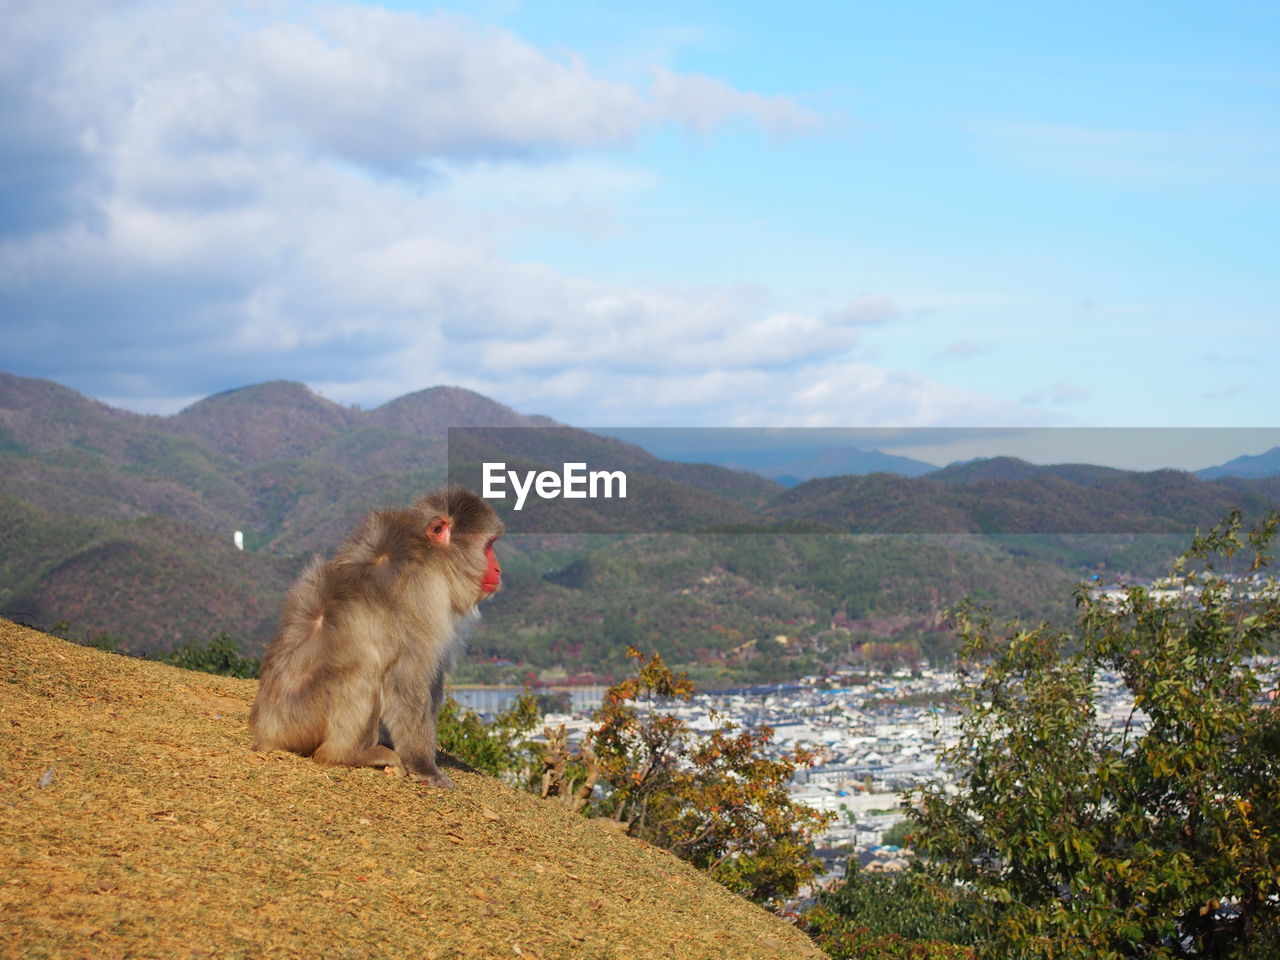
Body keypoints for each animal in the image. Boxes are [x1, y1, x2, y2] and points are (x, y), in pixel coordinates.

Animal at [250, 488, 504, 788]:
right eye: (488, 546)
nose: (498, 569)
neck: (429, 553)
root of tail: (267, 731)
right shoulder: (423, 594)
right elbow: (405, 678)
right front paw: (423, 765)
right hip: (303, 717)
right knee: (365, 667)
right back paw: (347, 754)